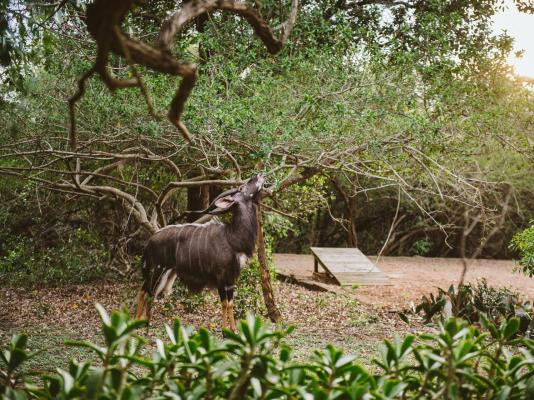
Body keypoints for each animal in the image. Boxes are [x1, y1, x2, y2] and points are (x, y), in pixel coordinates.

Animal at [136, 173, 266, 332]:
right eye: (242, 187)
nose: (260, 175)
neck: (232, 237)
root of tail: (149, 241)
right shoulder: (221, 277)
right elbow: (224, 303)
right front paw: (224, 332)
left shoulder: (231, 279)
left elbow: (231, 303)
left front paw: (234, 330)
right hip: (158, 270)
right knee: (148, 292)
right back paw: (144, 324)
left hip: (163, 272)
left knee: (144, 290)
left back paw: (139, 322)